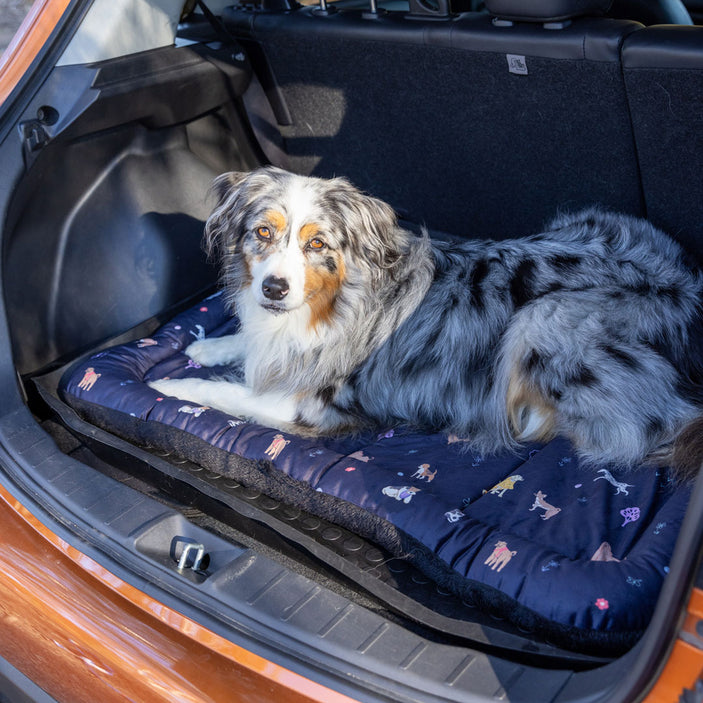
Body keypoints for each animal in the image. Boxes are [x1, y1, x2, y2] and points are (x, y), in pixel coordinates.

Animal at [150, 166, 703, 478]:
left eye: (317, 243)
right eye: (263, 232)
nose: (274, 288)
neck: (329, 305)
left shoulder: (308, 404)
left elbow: (226, 392)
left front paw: (169, 386)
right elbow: (248, 346)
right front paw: (210, 347)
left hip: (543, 319)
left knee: (637, 430)